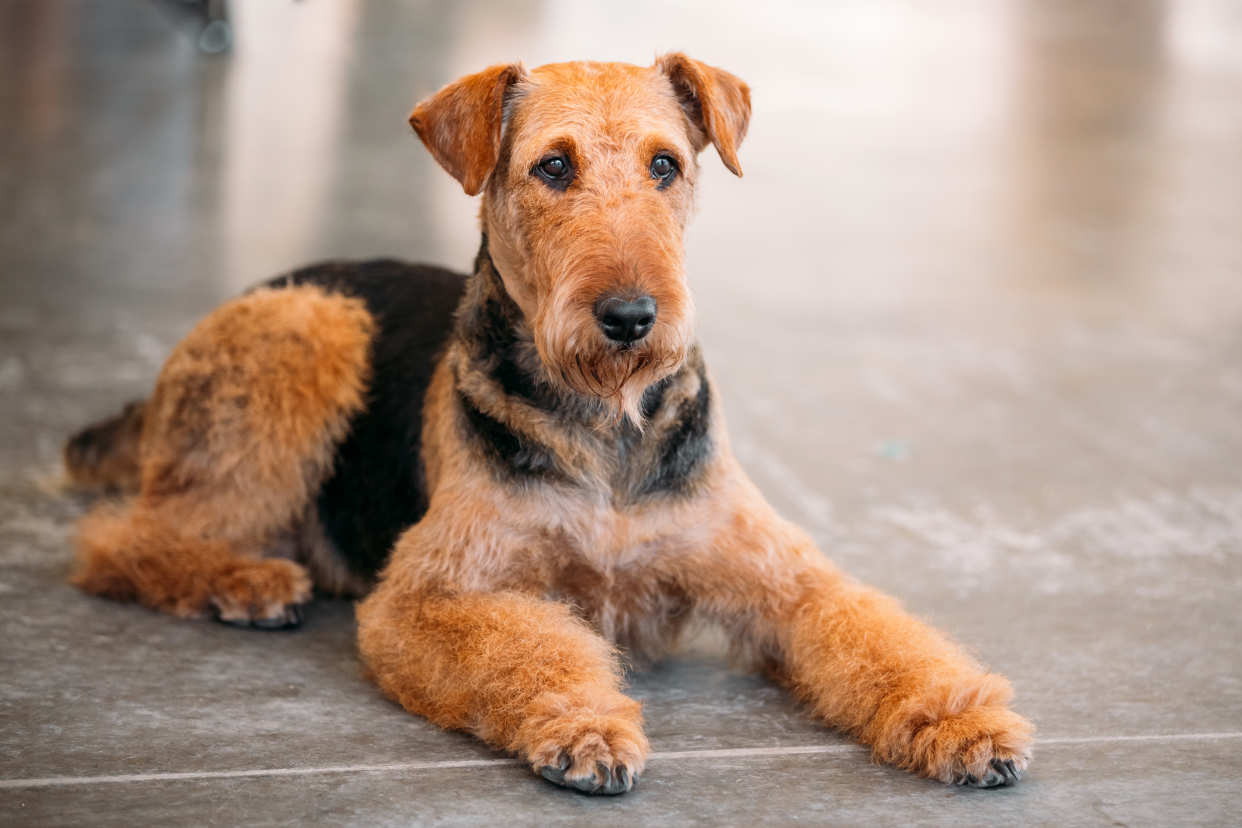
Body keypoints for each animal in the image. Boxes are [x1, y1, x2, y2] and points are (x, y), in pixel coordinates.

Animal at [67, 54, 1038, 794]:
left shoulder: (784, 579)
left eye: (664, 165)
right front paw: (587, 727)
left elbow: (880, 638)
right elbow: (533, 649)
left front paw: (968, 723)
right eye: (554, 167)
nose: (631, 317)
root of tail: (262, 286)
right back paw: (245, 581)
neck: (605, 421)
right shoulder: (429, 595)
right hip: (311, 330)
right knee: (121, 539)